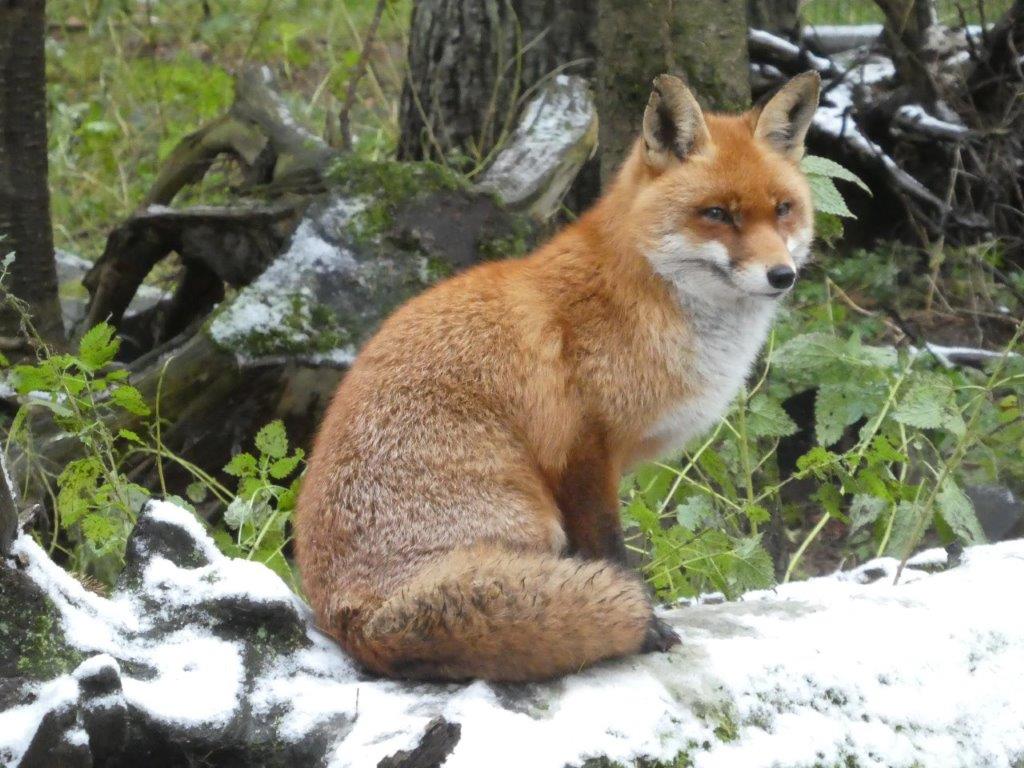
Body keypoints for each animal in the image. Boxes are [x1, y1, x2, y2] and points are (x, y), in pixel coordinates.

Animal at [292, 72, 819, 684]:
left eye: (783, 209)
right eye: (717, 213)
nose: (781, 275)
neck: (643, 299)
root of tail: (357, 621)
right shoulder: (582, 453)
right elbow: (612, 556)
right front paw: (648, 625)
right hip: (530, 518)